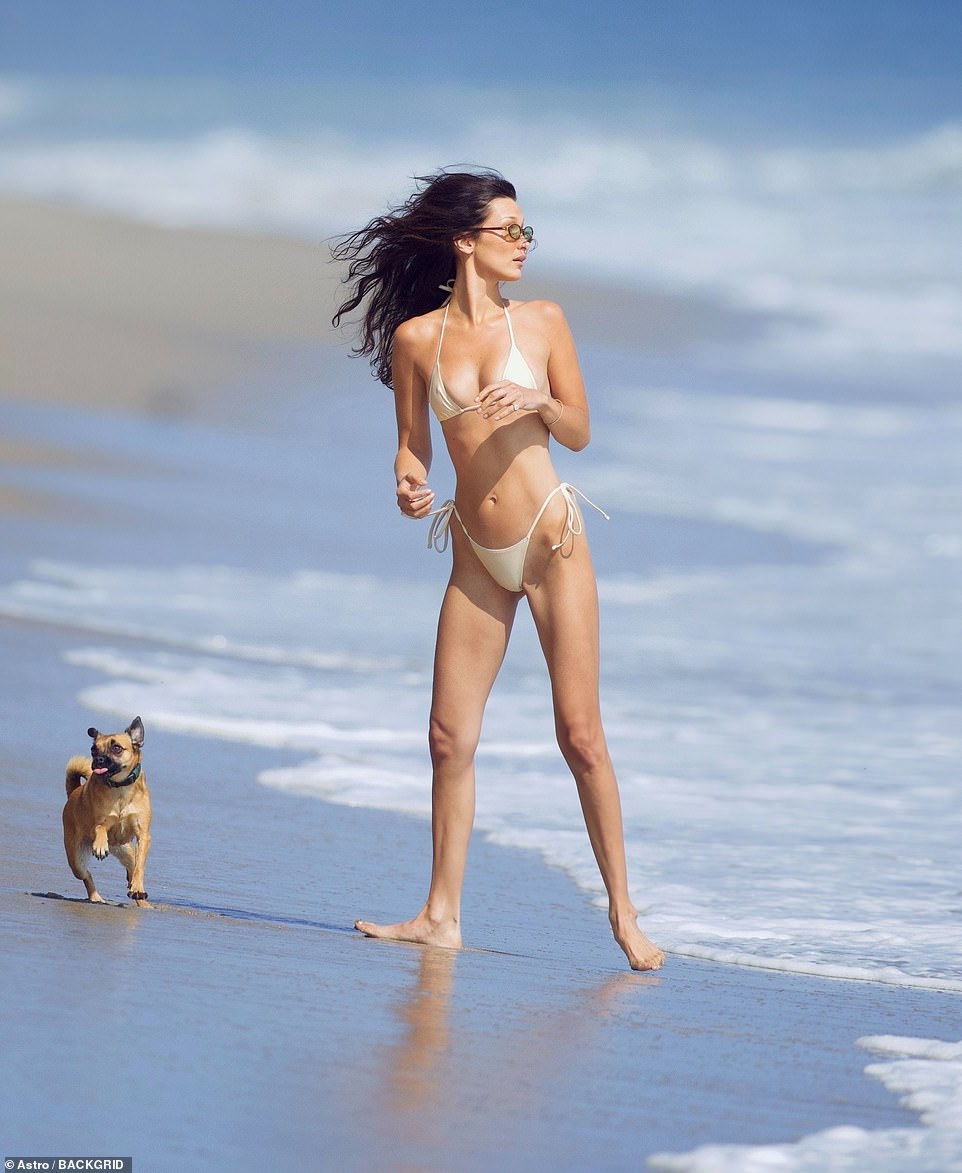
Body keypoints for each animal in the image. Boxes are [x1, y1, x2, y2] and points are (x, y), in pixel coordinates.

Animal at [62, 713, 152, 905]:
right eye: (93, 750)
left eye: (116, 748)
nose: (98, 759)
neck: (120, 788)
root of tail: (73, 792)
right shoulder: (100, 823)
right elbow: (100, 827)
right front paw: (100, 845)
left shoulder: (143, 835)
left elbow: (140, 867)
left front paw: (138, 888)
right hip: (76, 860)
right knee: (86, 875)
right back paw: (95, 897)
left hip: (126, 851)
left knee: (132, 867)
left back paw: (141, 898)